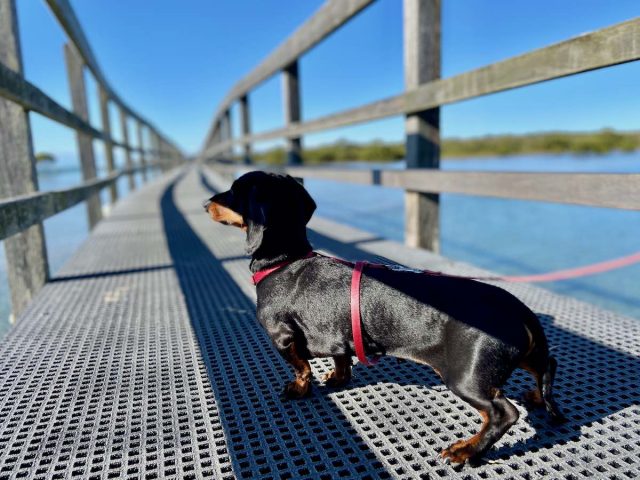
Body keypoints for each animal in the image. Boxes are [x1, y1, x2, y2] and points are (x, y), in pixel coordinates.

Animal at [202, 171, 564, 464]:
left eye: (233, 191)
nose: (206, 204)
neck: (285, 261)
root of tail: (519, 310)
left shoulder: (283, 336)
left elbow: (301, 368)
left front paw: (298, 389)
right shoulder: (338, 333)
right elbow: (341, 358)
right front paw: (338, 378)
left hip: (466, 377)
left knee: (503, 414)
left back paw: (468, 450)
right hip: (521, 356)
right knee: (546, 366)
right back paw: (537, 396)